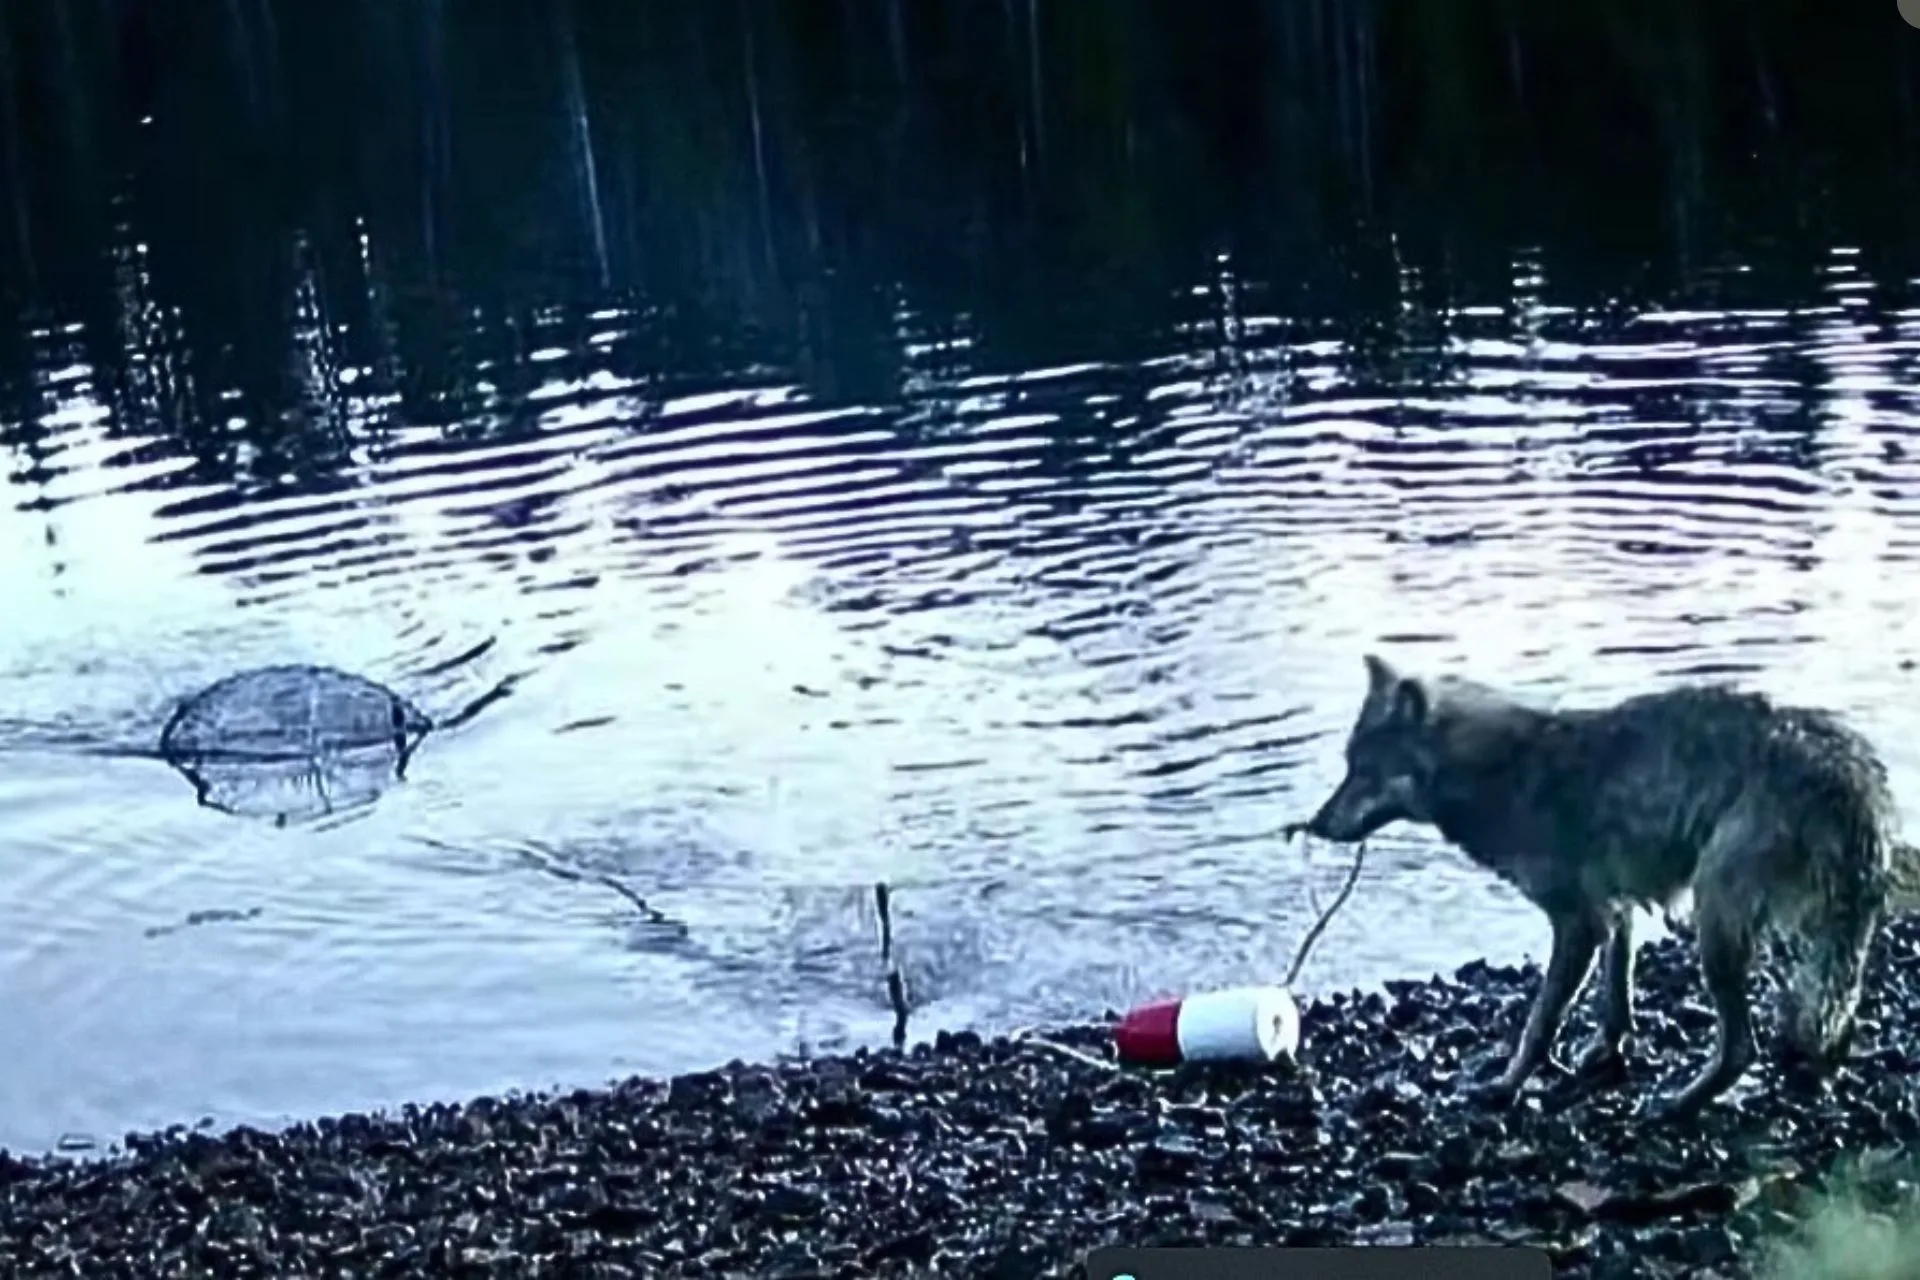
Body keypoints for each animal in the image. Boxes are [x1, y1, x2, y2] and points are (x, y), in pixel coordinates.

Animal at [1292, 653, 1920, 1120]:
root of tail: (1855, 779)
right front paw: (1604, 1056)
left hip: (1715, 923)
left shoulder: (1577, 923)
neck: (1498, 770)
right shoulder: (1617, 911)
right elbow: (1613, 1001)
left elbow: (1540, 1022)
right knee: (1831, 1020)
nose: (1314, 823)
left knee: (1743, 1047)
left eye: (1362, 773)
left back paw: (1678, 1104)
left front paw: (1506, 1086)